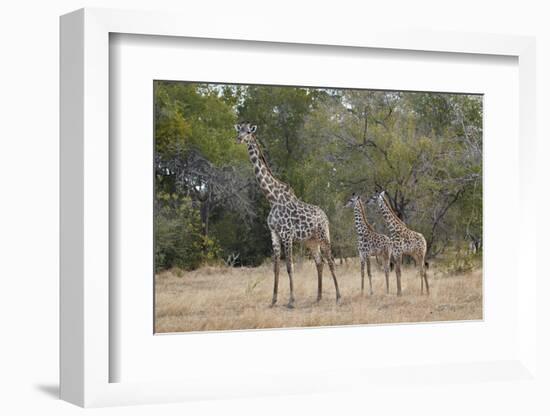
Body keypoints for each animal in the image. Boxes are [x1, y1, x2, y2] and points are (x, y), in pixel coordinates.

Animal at [236, 122, 342, 308]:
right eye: (239, 130)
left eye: (248, 131)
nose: (239, 139)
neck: (272, 198)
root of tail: (325, 217)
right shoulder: (274, 234)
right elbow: (276, 267)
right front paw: (273, 300)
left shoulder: (287, 234)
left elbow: (289, 266)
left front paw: (291, 301)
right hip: (311, 241)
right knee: (319, 262)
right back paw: (318, 297)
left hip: (323, 235)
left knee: (330, 261)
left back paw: (338, 297)